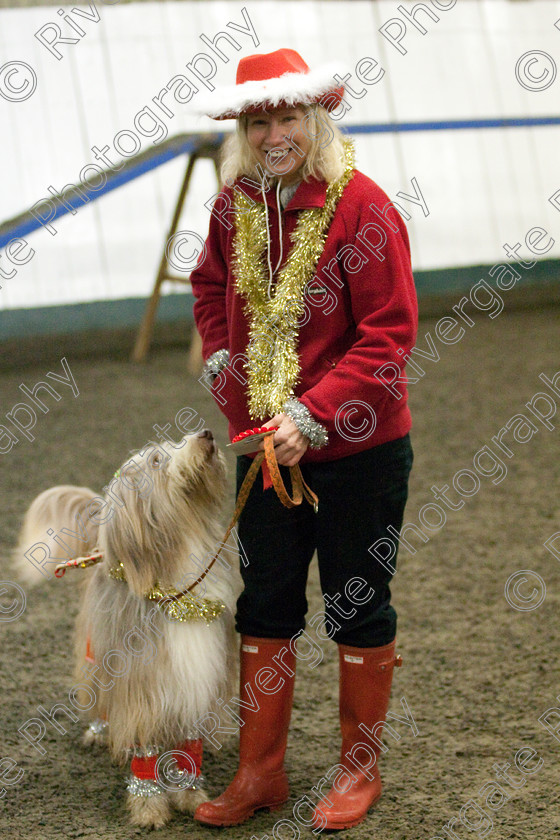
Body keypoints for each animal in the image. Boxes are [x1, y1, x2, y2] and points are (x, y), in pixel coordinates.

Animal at [14, 430, 238, 832]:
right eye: (156, 460)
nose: (206, 434)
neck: (177, 593)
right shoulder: (141, 689)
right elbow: (144, 751)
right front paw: (149, 808)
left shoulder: (197, 682)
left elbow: (190, 747)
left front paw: (191, 794)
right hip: (97, 652)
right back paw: (99, 732)